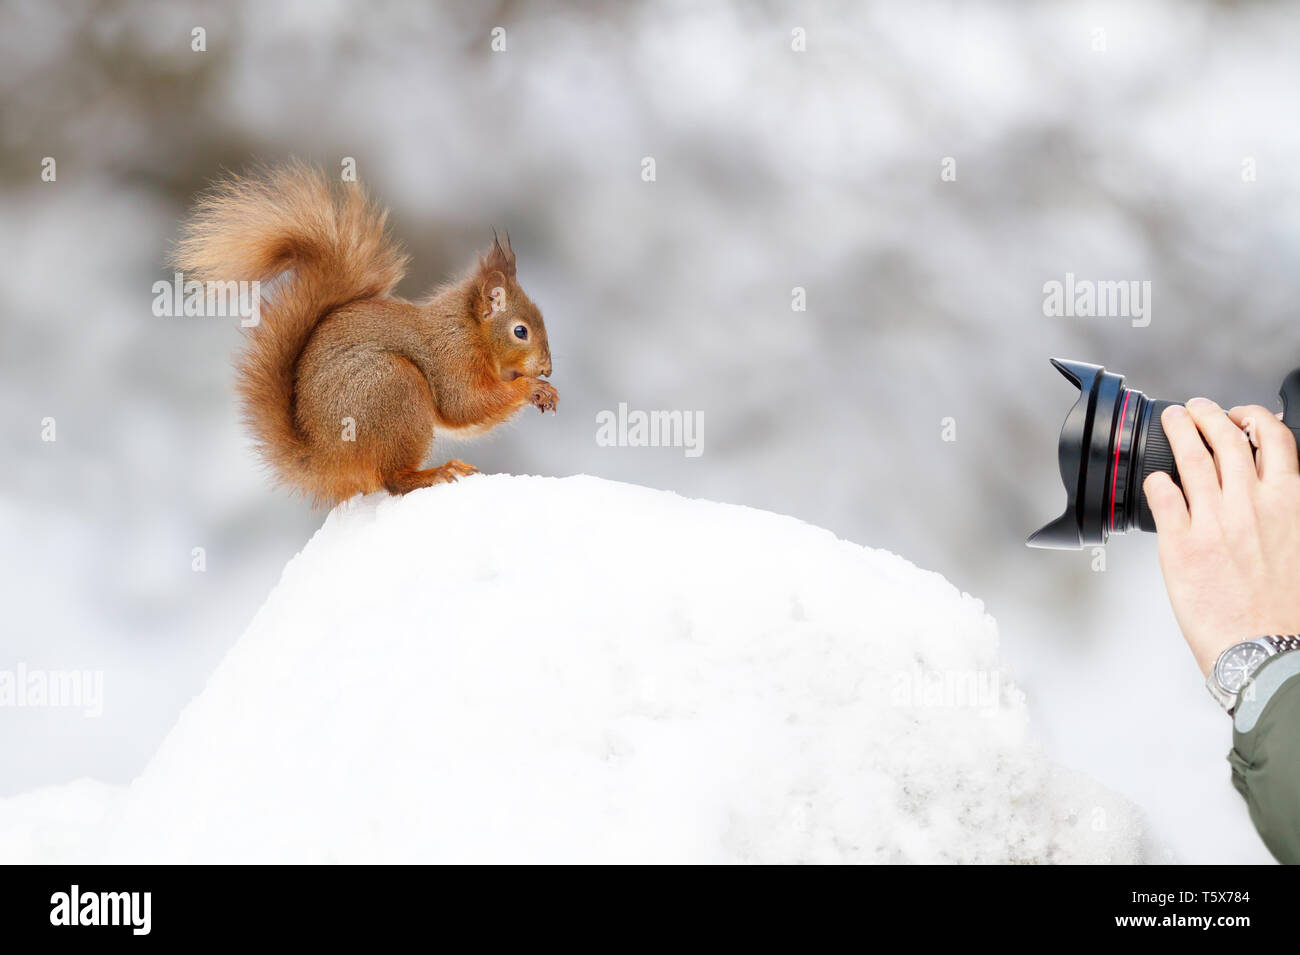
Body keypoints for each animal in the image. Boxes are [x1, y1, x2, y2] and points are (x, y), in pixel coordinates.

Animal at [174, 162, 556, 506]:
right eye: (520, 331)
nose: (547, 368)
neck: (469, 329)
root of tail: (327, 457)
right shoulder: (452, 357)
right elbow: (464, 405)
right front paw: (530, 387)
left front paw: (543, 390)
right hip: (395, 389)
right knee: (393, 480)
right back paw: (435, 473)